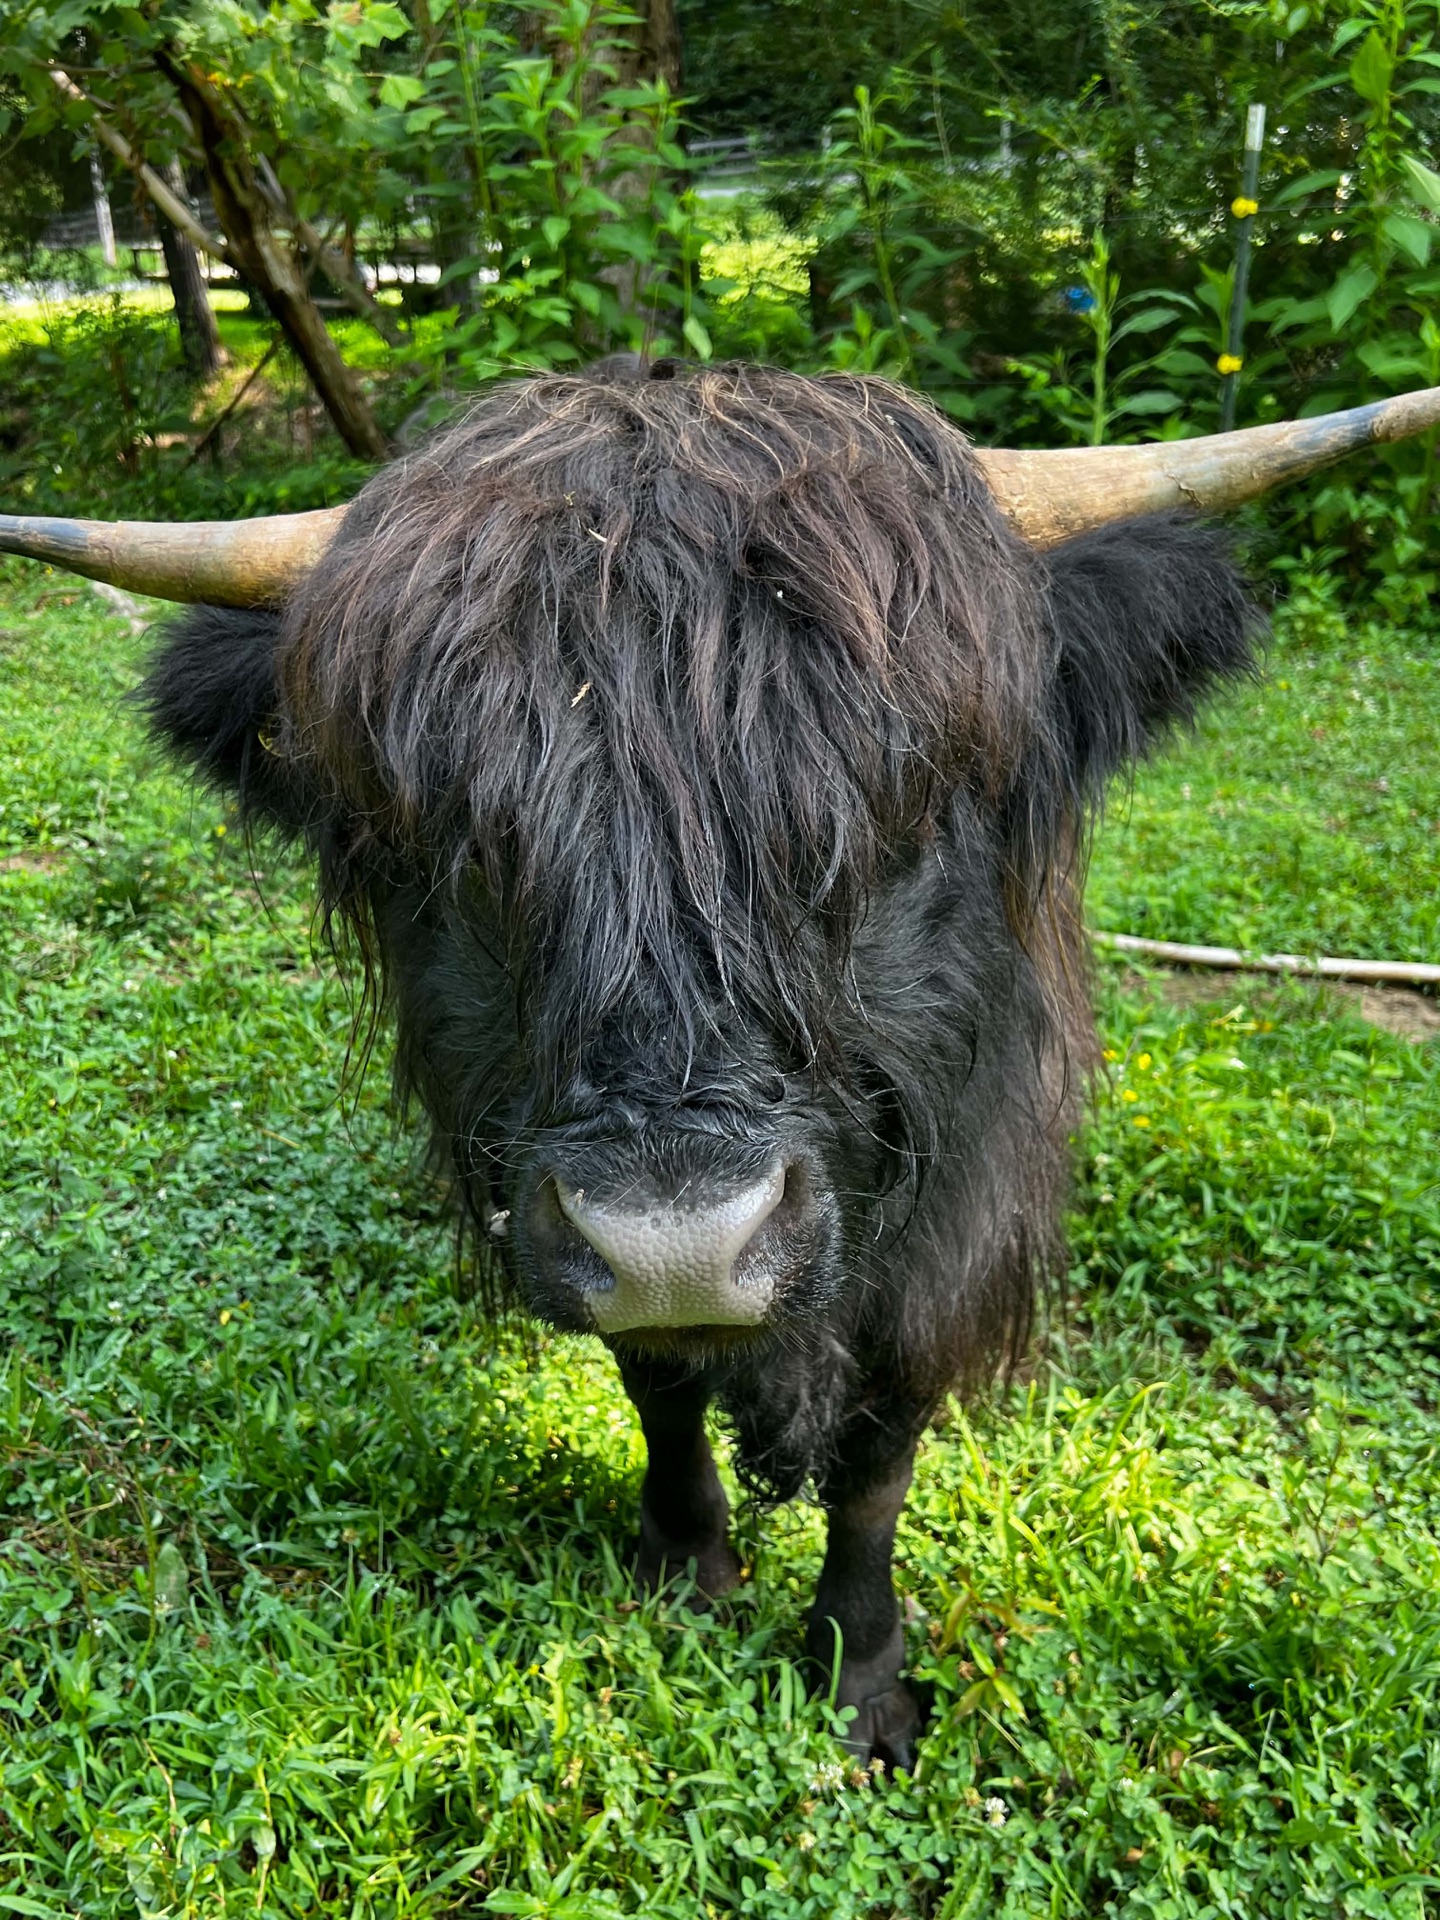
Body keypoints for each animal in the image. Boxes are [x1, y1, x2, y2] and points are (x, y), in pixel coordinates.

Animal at [5, 359, 1437, 1767]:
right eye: (457, 855)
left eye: (906, 817)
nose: (678, 1245)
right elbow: (658, 1390)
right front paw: (689, 1571)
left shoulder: (953, 1231)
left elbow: (877, 1461)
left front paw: (863, 1679)